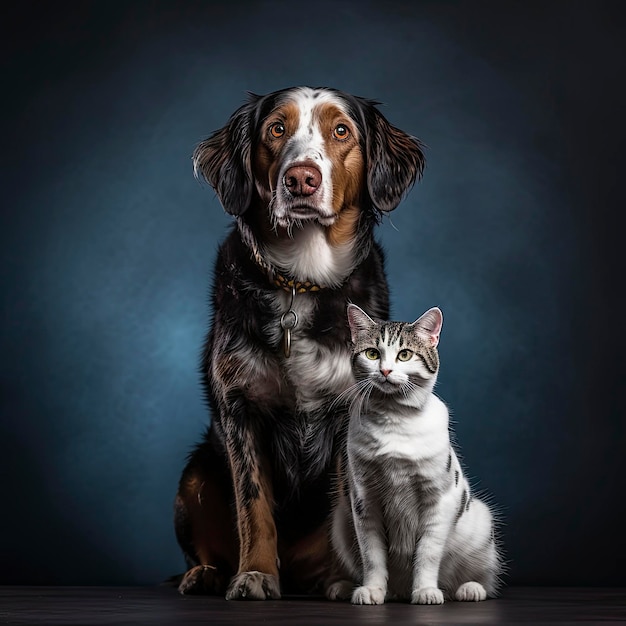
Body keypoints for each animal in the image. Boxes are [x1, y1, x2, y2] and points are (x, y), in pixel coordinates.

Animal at [172, 85, 424, 596]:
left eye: (341, 130)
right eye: (276, 129)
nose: (300, 179)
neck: (302, 282)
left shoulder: (352, 416)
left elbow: (347, 508)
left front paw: (347, 580)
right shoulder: (240, 410)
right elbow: (253, 506)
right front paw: (255, 573)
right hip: (194, 476)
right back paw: (205, 573)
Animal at [324, 304, 500, 604]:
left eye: (404, 354)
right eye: (372, 353)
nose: (385, 370)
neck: (394, 419)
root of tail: (400, 591)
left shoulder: (439, 499)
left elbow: (427, 553)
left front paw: (426, 591)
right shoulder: (364, 500)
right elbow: (371, 555)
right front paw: (372, 590)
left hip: (481, 523)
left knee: (484, 580)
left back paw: (469, 589)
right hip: (340, 521)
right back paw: (344, 587)